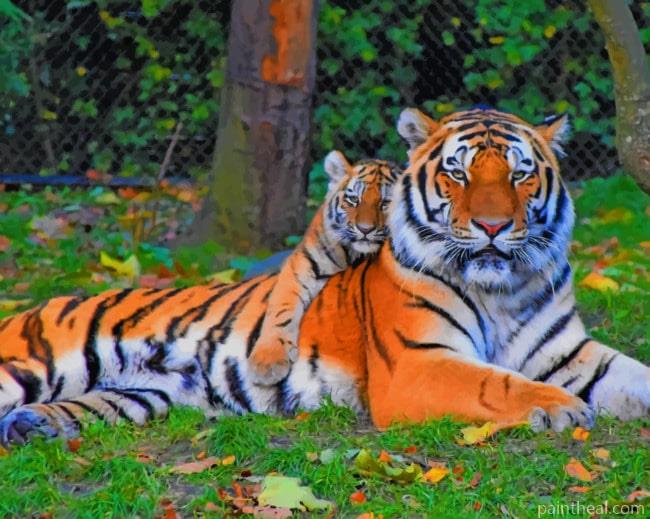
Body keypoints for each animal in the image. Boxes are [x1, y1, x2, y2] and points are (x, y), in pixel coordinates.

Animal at [248, 151, 400, 385]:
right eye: (353, 200)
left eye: (385, 203)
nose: (365, 229)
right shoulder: (300, 266)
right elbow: (281, 310)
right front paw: (267, 363)